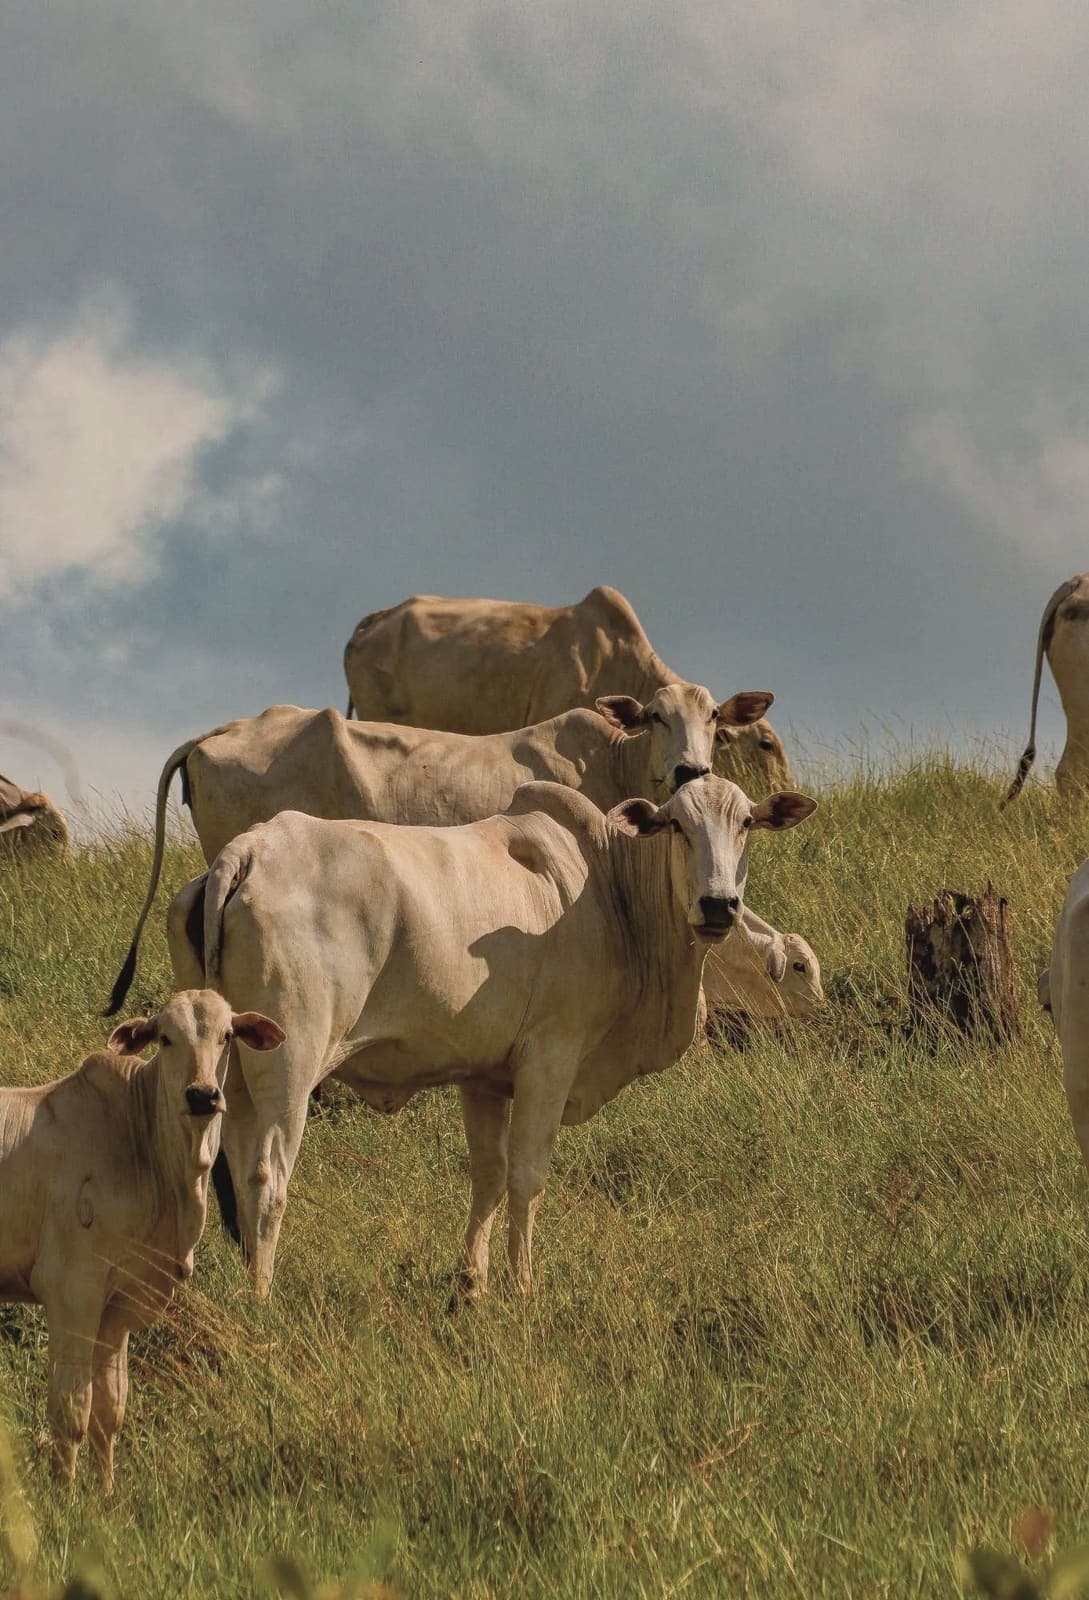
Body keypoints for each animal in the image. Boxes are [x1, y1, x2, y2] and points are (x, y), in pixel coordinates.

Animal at [0, 991, 284, 1489]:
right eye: (165, 1038)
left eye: (227, 1035)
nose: (202, 1094)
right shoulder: (72, 1291)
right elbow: (71, 1411)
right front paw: (66, 1498)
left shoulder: (119, 1306)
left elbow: (109, 1410)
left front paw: (106, 1495)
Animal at [166, 774, 817, 1299]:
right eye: (677, 824)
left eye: (748, 823)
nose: (719, 905)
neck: (610, 889)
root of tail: (251, 848)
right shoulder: (550, 1058)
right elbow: (527, 1177)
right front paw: (522, 1284)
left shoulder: (482, 1077)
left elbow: (489, 1176)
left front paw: (472, 1281)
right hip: (289, 1065)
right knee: (267, 1177)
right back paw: (262, 1296)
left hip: (227, 1069)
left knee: (226, 1169)